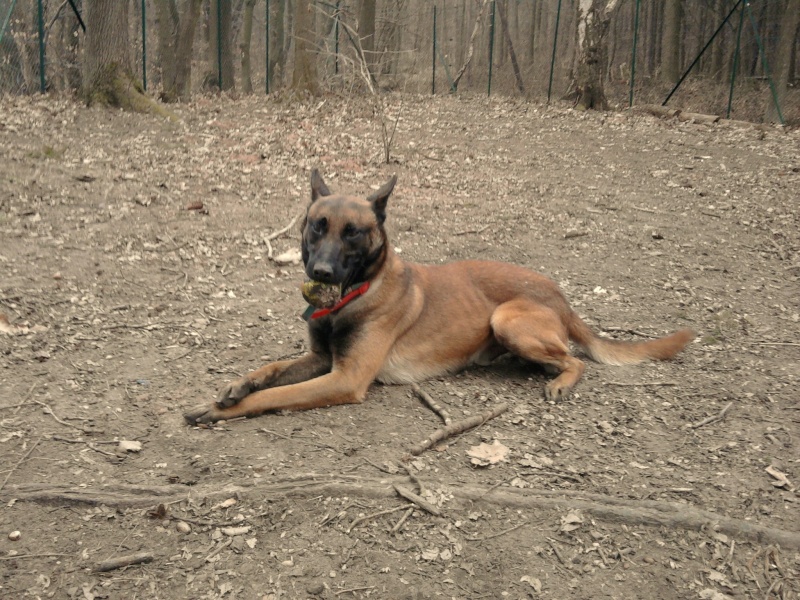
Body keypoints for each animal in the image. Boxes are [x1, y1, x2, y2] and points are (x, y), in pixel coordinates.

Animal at [184, 168, 696, 422]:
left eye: (354, 233)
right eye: (317, 225)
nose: (321, 271)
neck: (356, 296)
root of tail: (560, 295)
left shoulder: (343, 378)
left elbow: (274, 396)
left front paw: (220, 408)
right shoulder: (321, 359)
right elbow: (270, 369)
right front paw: (235, 386)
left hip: (507, 320)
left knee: (576, 360)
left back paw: (561, 381)